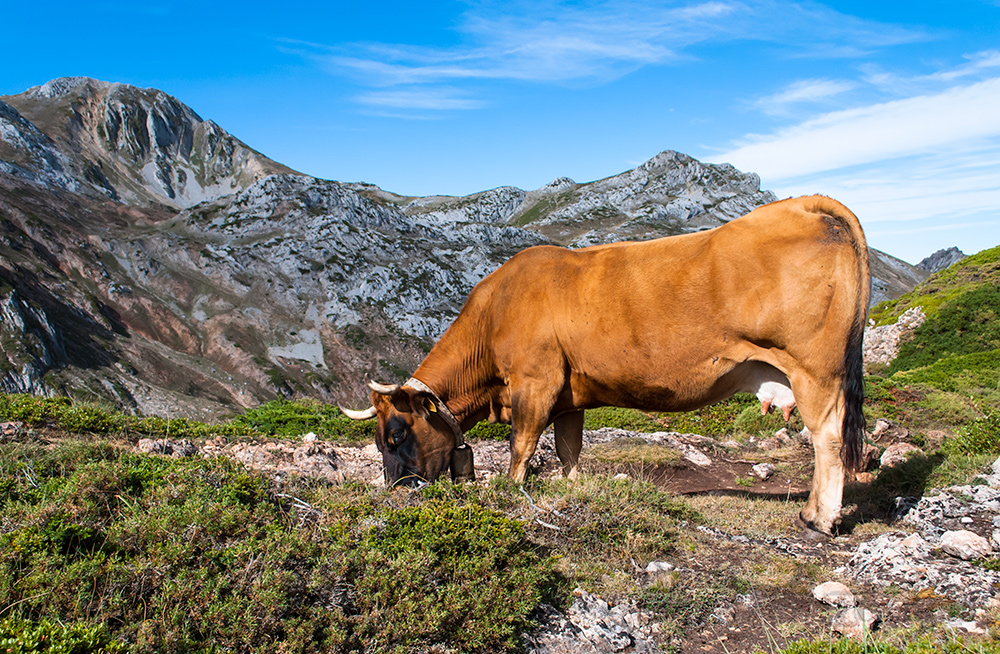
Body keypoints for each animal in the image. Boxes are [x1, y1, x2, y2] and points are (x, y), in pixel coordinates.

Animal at [342, 195, 868, 540]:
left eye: (396, 435)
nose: (397, 492)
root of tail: (803, 205)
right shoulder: (569, 395)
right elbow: (568, 450)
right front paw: (574, 489)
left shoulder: (535, 381)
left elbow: (521, 446)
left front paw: (511, 492)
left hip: (815, 370)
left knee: (827, 439)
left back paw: (818, 519)